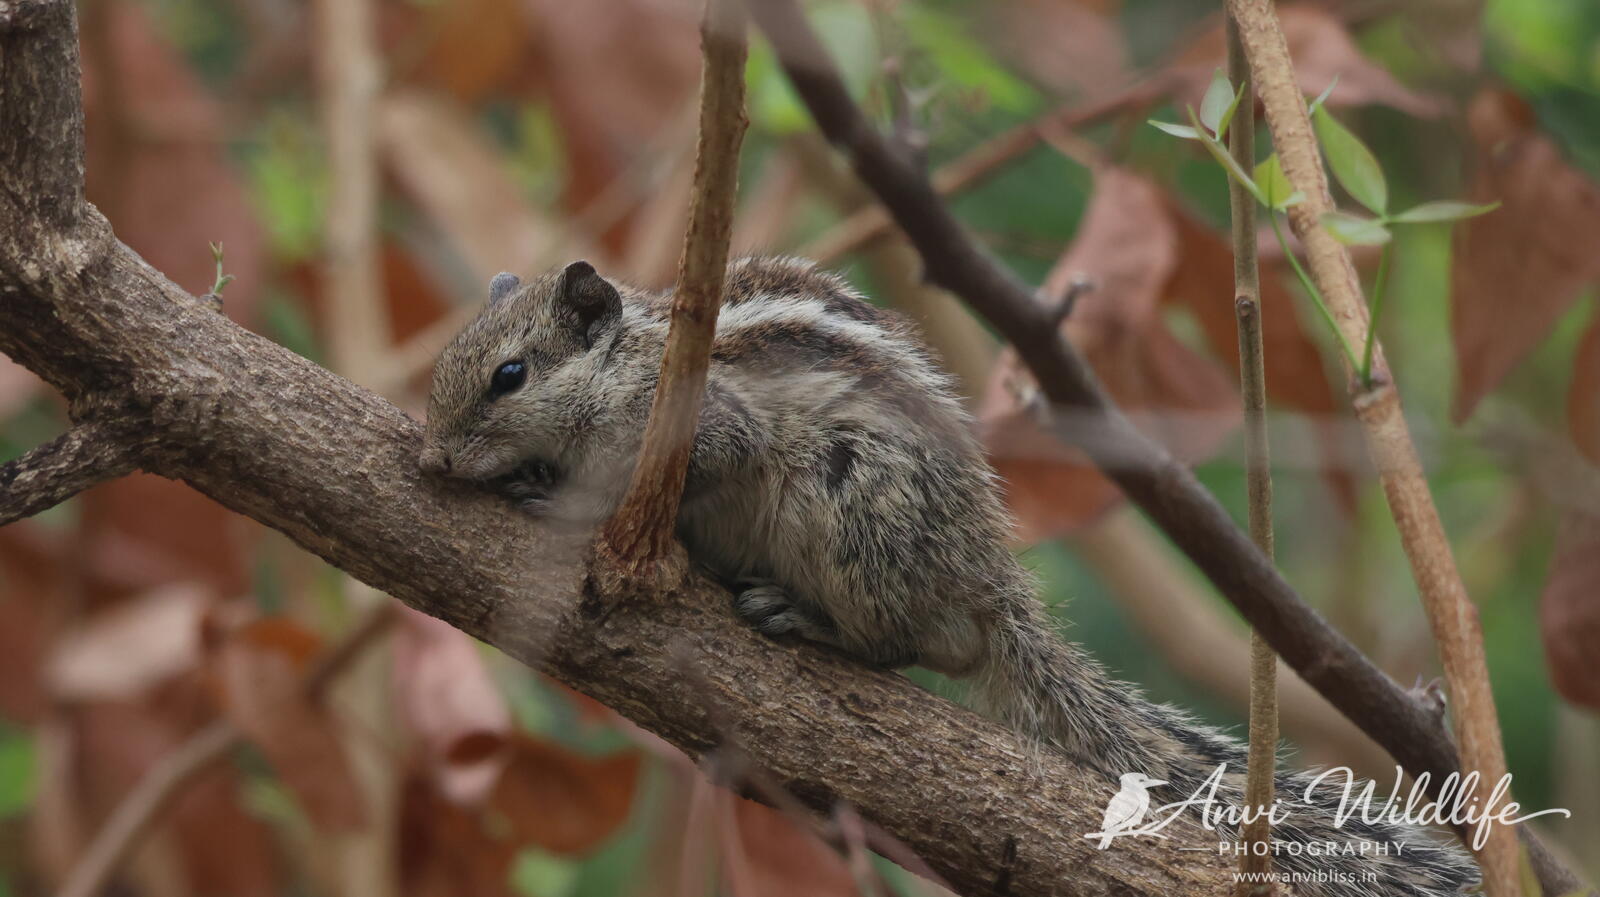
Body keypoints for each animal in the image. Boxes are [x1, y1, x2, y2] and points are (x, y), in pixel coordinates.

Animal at [422, 256, 1479, 896]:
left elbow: (696, 465)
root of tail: (989, 579)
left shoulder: (703, 425)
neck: (631, 363)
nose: (434, 456)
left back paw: (807, 618)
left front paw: (555, 494)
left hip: (855, 506)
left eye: (510, 375)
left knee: (910, 642)